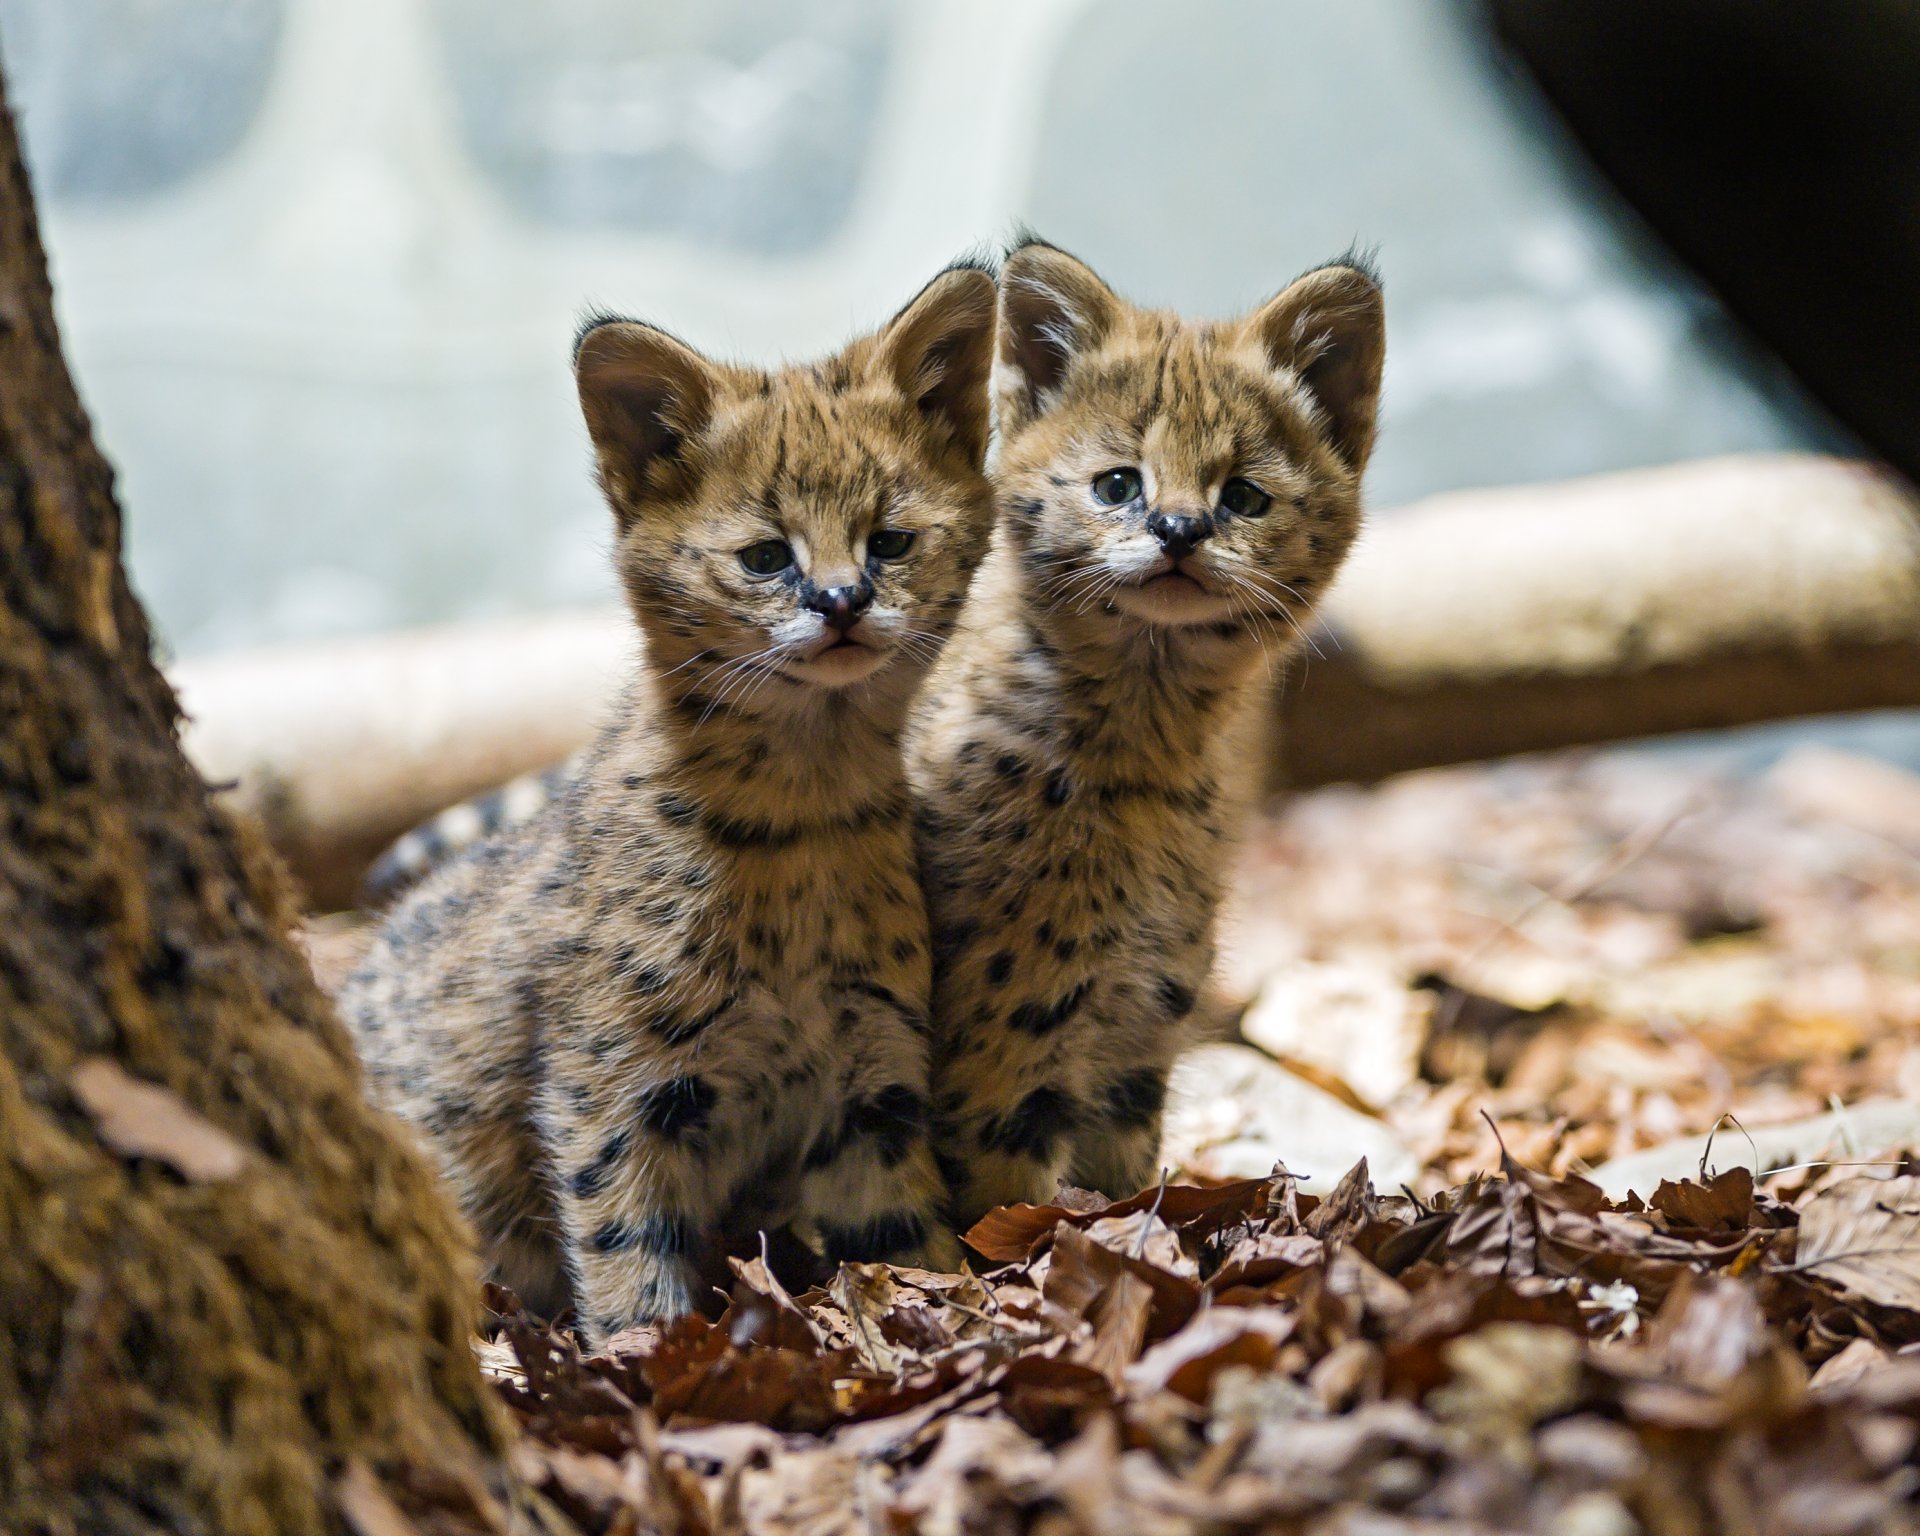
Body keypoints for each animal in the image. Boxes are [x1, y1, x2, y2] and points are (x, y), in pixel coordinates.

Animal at [337, 261, 998, 1341]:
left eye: (892, 542)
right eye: (767, 556)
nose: (842, 601)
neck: (802, 808)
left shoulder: (872, 1074)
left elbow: (908, 1241)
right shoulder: (605, 1084)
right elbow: (621, 1250)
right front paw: (640, 1355)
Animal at [908, 235, 1385, 1230]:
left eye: (1244, 496)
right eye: (1118, 484)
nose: (1179, 528)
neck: (1146, 737)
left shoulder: (1146, 1010)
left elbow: (1125, 1178)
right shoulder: (1008, 1026)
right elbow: (1006, 1209)